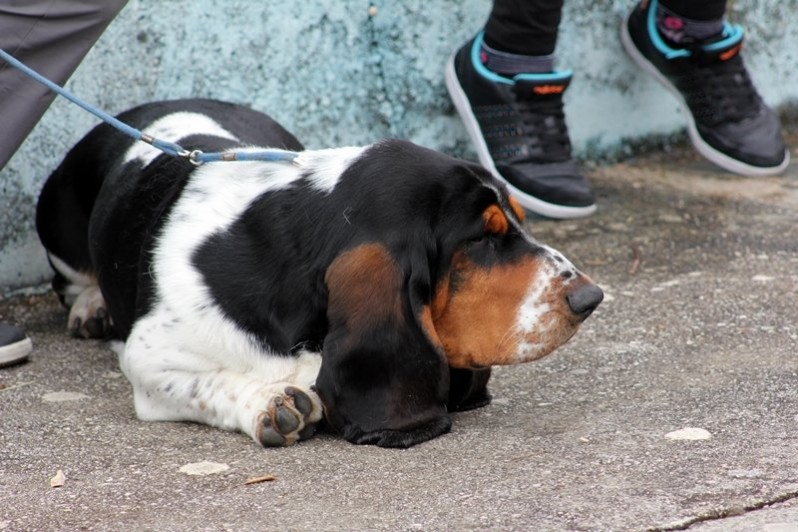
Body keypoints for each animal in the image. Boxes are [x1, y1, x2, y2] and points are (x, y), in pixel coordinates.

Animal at [36, 99, 603, 448]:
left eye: (517, 222)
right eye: (481, 238)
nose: (590, 298)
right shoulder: (150, 357)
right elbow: (207, 384)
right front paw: (271, 405)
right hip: (55, 215)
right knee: (69, 279)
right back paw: (91, 306)